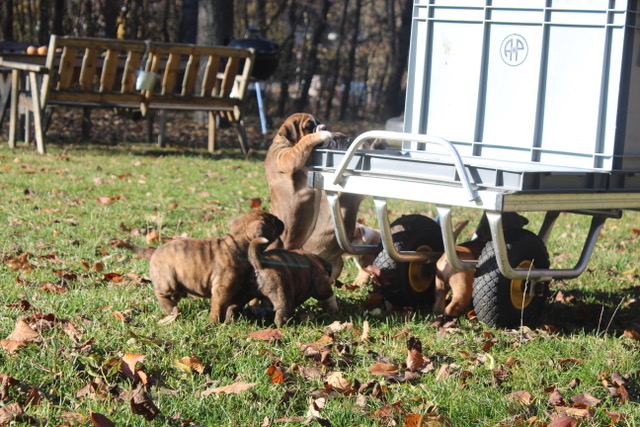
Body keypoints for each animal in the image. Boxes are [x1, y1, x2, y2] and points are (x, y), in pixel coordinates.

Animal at [114, 211, 284, 324]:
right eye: (273, 220)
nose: (282, 220)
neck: (238, 242)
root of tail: (154, 251)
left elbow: (233, 304)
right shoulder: (221, 289)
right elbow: (218, 307)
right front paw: (215, 323)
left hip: (178, 285)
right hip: (168, 280)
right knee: (160, 293)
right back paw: (170, 309)